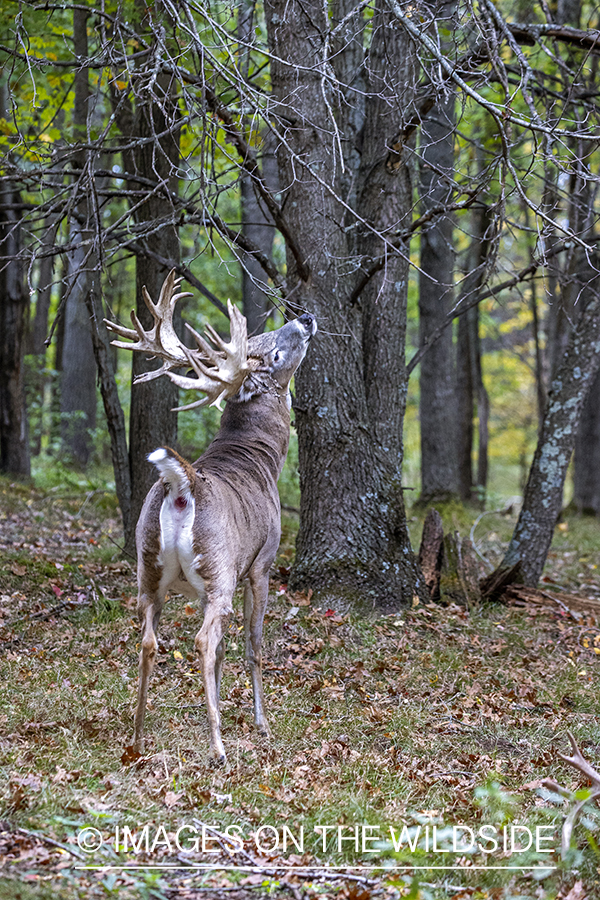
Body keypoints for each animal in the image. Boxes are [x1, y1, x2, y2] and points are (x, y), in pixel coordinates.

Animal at [105, 268, 316, 768]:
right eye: (273, 352)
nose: (305, 317)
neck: (261, 459)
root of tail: (182, 486)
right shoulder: (260, 563)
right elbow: (252, 645)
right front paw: (260, 722)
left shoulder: (207, 585)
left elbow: (222, 656)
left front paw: (218, 708)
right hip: (219, 569)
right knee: (202, 642)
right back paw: (218, 749)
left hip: (150, 571)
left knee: (149, 640)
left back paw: (137, 738)